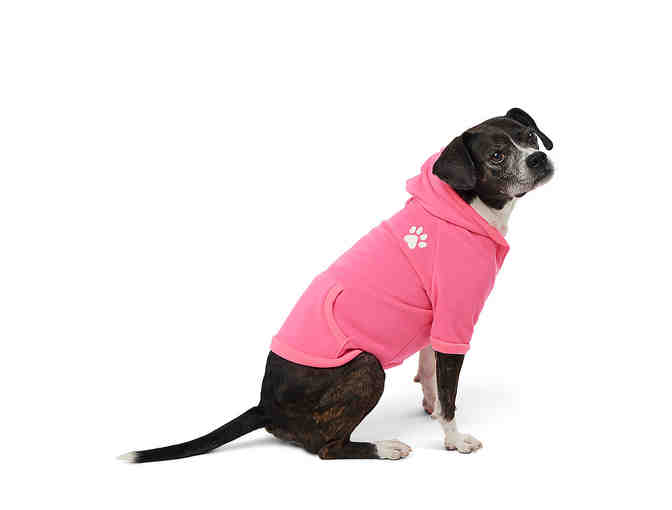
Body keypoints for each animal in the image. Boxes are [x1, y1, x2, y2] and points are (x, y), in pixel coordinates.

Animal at [119, 108, 554, 462]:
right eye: (496, 155)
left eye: (530, 136)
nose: (538, 157)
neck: (468, 209)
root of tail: (264, 405)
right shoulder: (454, 321)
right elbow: (450, 393)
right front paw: (454, 440)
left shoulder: (436, 326)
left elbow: (429, 370)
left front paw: (429, 408)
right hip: (367, 366)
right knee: (327, 448)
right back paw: (384, 448)